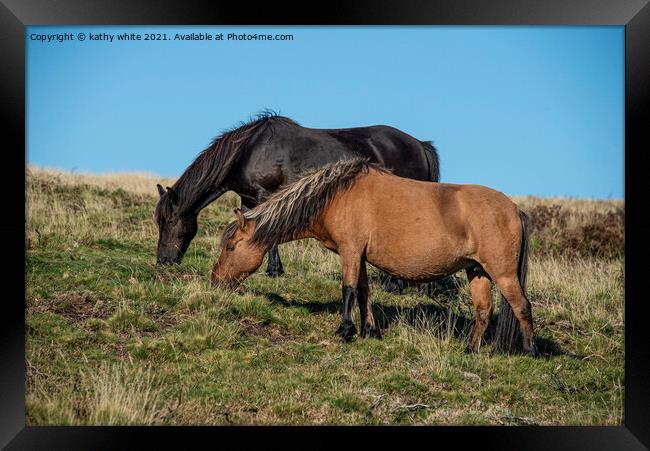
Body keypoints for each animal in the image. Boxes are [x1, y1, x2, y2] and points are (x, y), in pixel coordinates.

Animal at [213, 159, 536, 356]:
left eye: (231, 247)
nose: (215, 281)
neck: (337, 195)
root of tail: (514, 209)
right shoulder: (360, 256)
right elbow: (364, 292)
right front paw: (369, 330)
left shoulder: (350, 251)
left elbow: (348, 289)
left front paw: (345, 330)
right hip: (477, 271)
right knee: (483, 311)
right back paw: (471, 350)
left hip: (503, 273)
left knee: (522, 306)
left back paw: (530, 350)